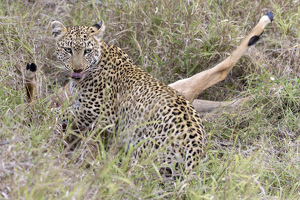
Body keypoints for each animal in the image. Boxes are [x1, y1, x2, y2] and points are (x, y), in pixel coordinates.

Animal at [49, 19, 207, 174]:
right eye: (68, 50)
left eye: (87, 51)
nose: (78, 69)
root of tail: (196, 142)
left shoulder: (102, 113)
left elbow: (64, 112)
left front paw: (46, 113)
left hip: (143, 154)